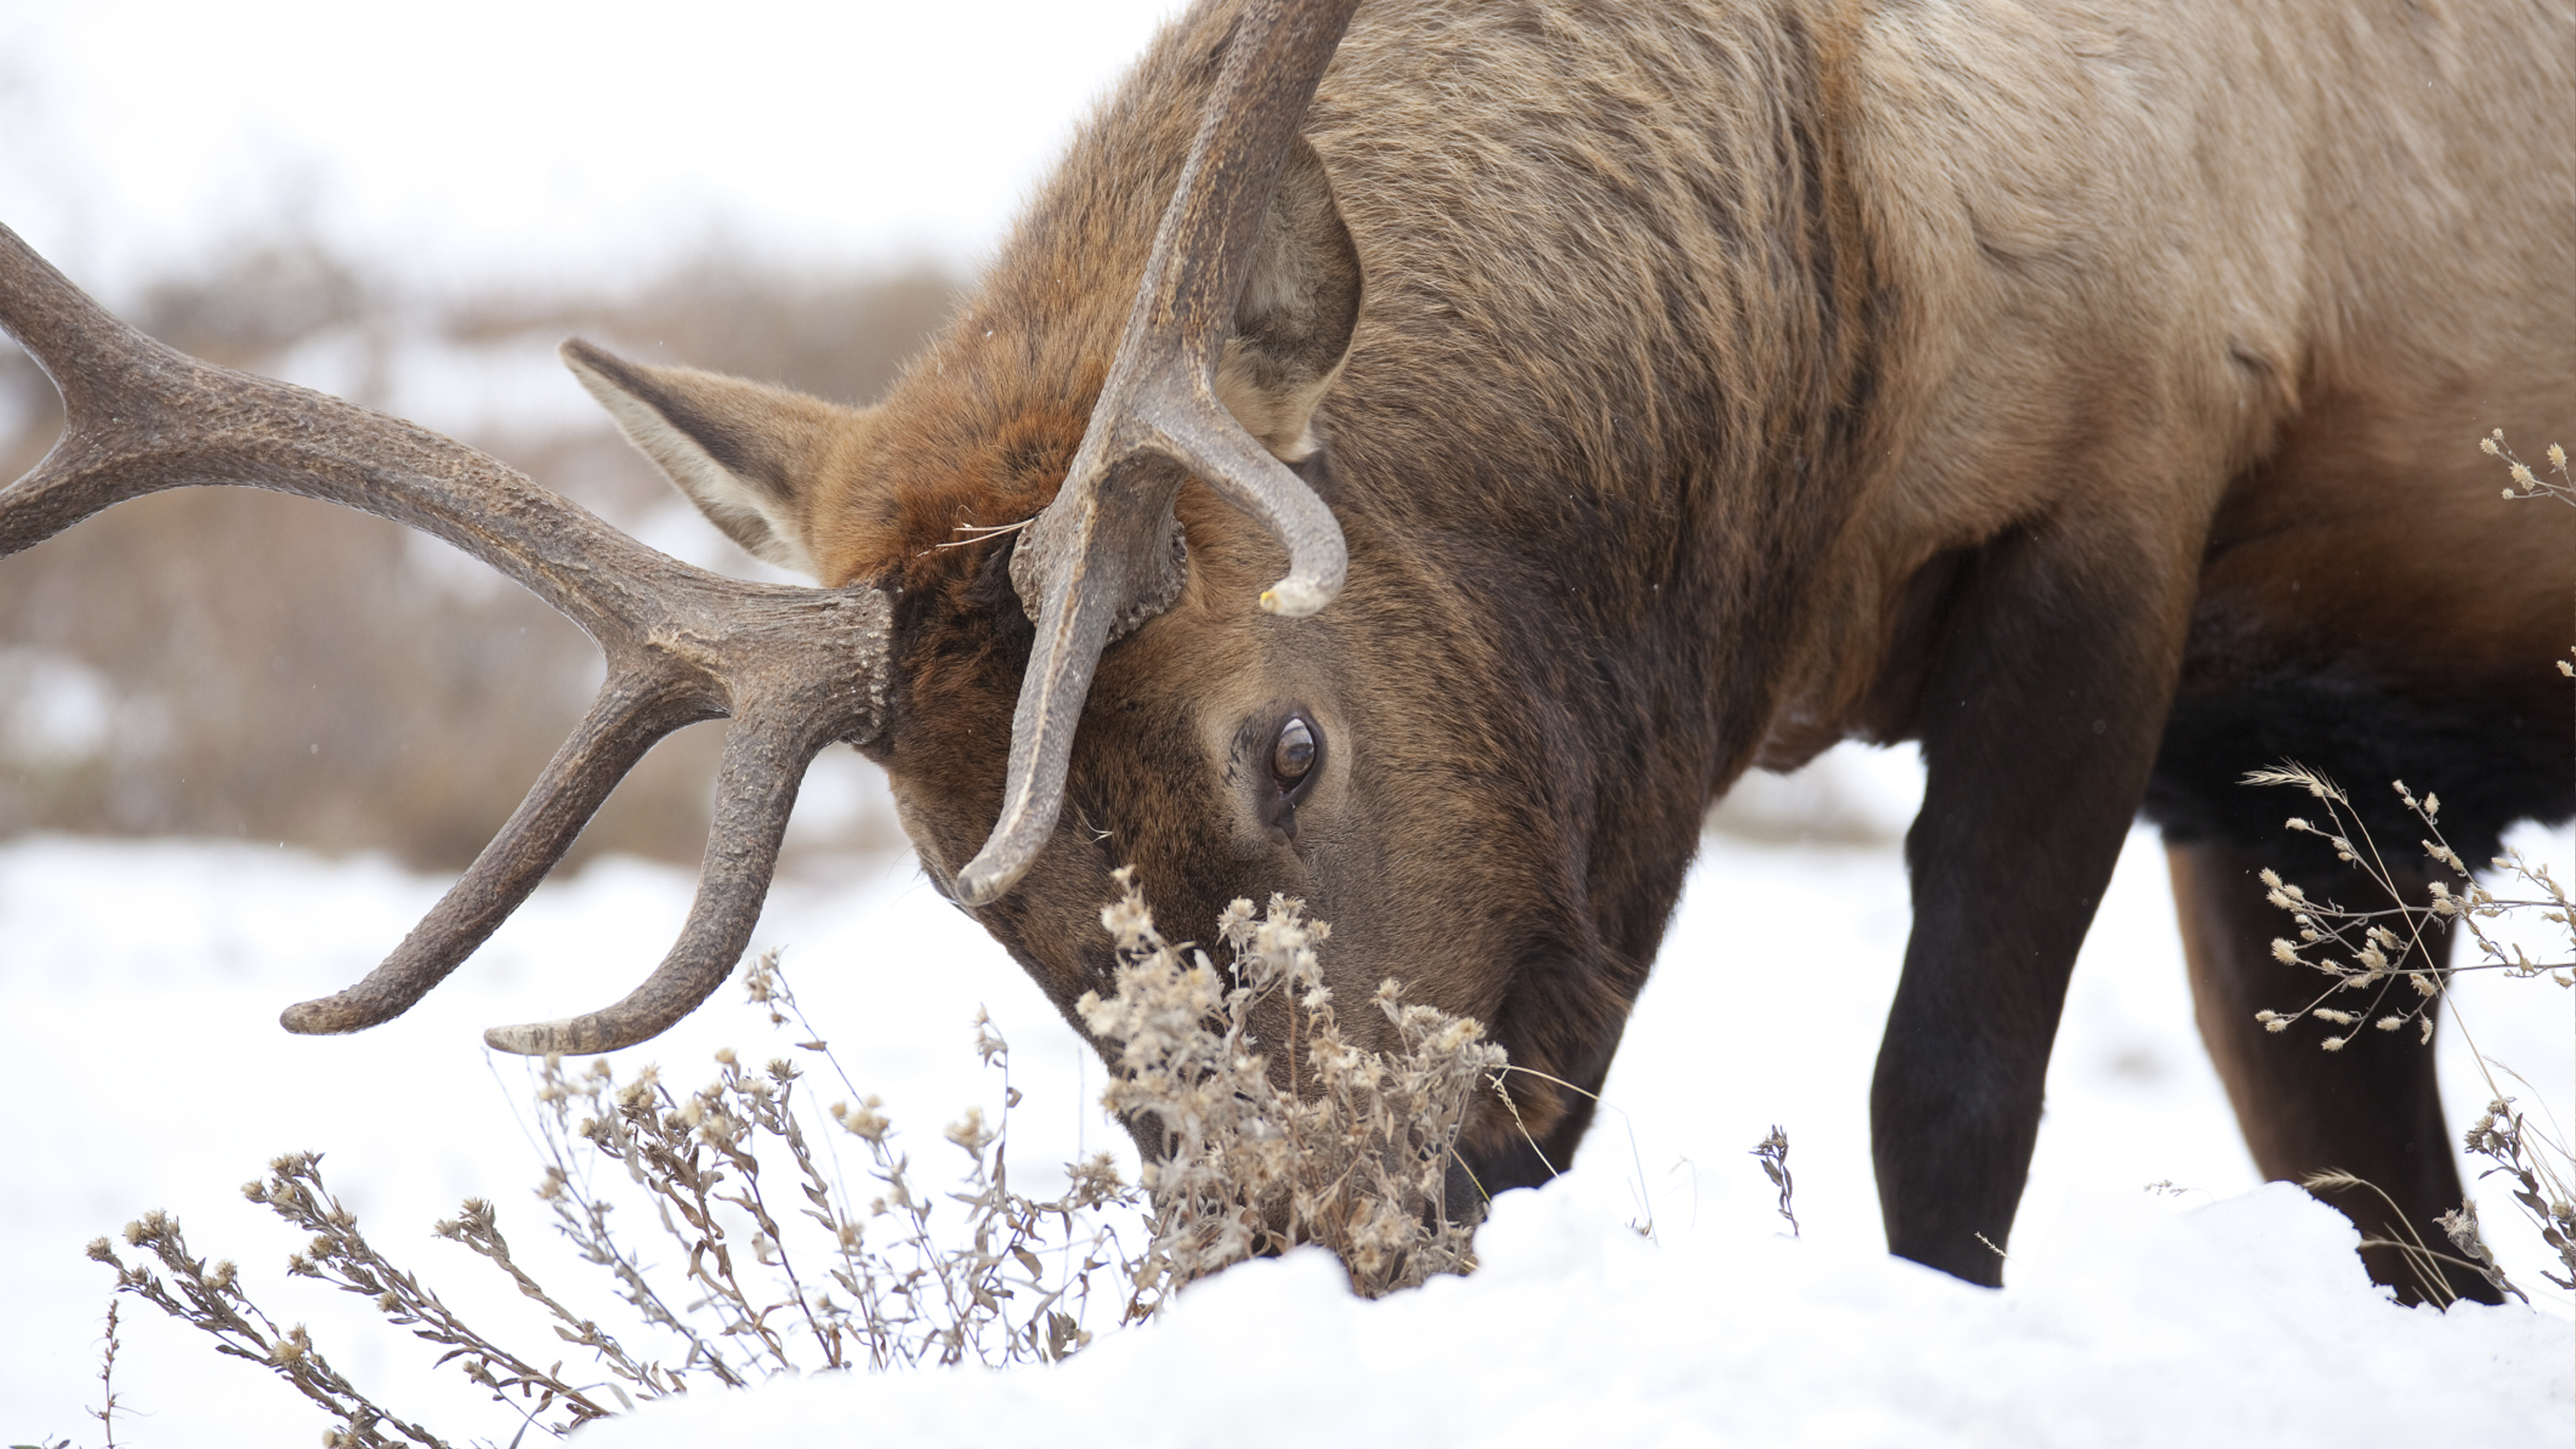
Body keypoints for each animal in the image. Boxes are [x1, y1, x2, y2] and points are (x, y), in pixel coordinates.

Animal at [3, 0, 2567, 1305]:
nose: (1293, 1236)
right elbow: (2377, 1206)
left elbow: (1942, 1120)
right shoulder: (2302, 770)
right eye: (971, 887)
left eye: (1294, 745)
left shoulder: (2125, 487)